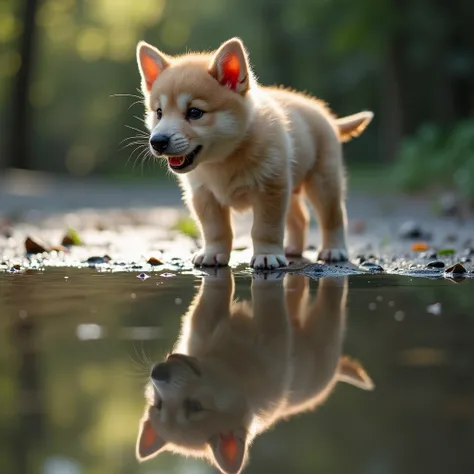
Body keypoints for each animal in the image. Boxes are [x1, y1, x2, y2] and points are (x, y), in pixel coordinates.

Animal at [135, 37, 372, 270]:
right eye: (159, 113)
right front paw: (213, 253)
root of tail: (328, 117)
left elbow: (265, 228)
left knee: (333, 217)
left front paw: (267, 255)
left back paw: (334, 250)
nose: (157, 142)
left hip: (323, 183)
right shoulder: (204, 195)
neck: (224, 159)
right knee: (300, 218)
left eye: (195, 113)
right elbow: (215, 230)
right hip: (291, 187)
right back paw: (292, 249)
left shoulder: (270, 190)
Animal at [136, 270, 374, 474]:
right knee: (319, 300)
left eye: (194, 407)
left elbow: (226, 290)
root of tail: (336, 373)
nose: (157, 373)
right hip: (323, 333)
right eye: (159, 405)